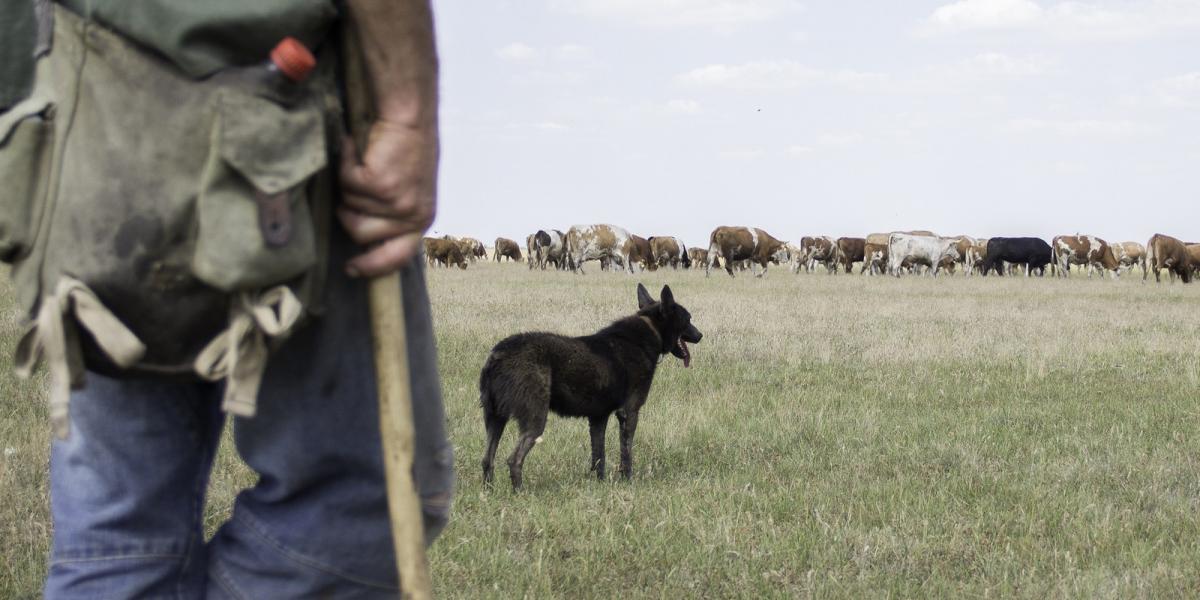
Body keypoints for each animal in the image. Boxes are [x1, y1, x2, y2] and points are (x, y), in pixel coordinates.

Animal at [480, 283, 700, 489]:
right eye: (688, 319)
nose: (700, 335)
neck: (650, 329)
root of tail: (498, 355)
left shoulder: (598, 418)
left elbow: (598, 456)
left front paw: (599, 484)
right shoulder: (629, 412)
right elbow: (626, 453)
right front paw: (627, 480)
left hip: (495, 418)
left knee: (487, 459)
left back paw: (488, 493)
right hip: (535, 420)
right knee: (514, 459)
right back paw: (520, 492)